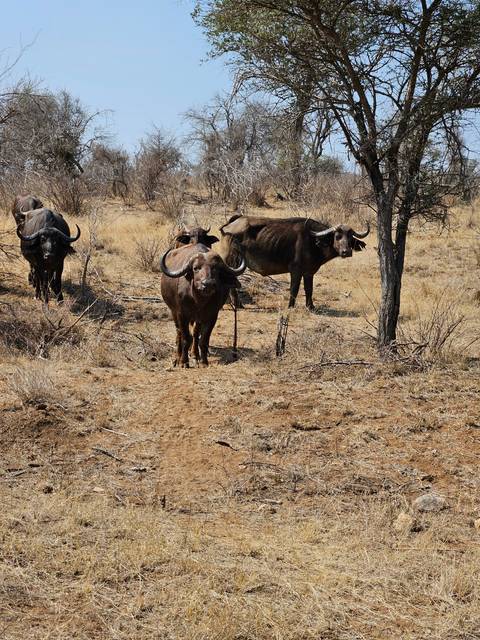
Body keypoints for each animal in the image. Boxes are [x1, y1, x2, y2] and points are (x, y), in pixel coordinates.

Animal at [219, 215, 370, 309]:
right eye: (337, 236)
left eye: (350, 237)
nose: (346, 252)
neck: (313, 241)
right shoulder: (295, 271)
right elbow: (294, 289)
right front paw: (290, 306)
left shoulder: (309, 273)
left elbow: (309, 289)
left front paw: (310, 306)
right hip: (233, 261)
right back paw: (237, 304)